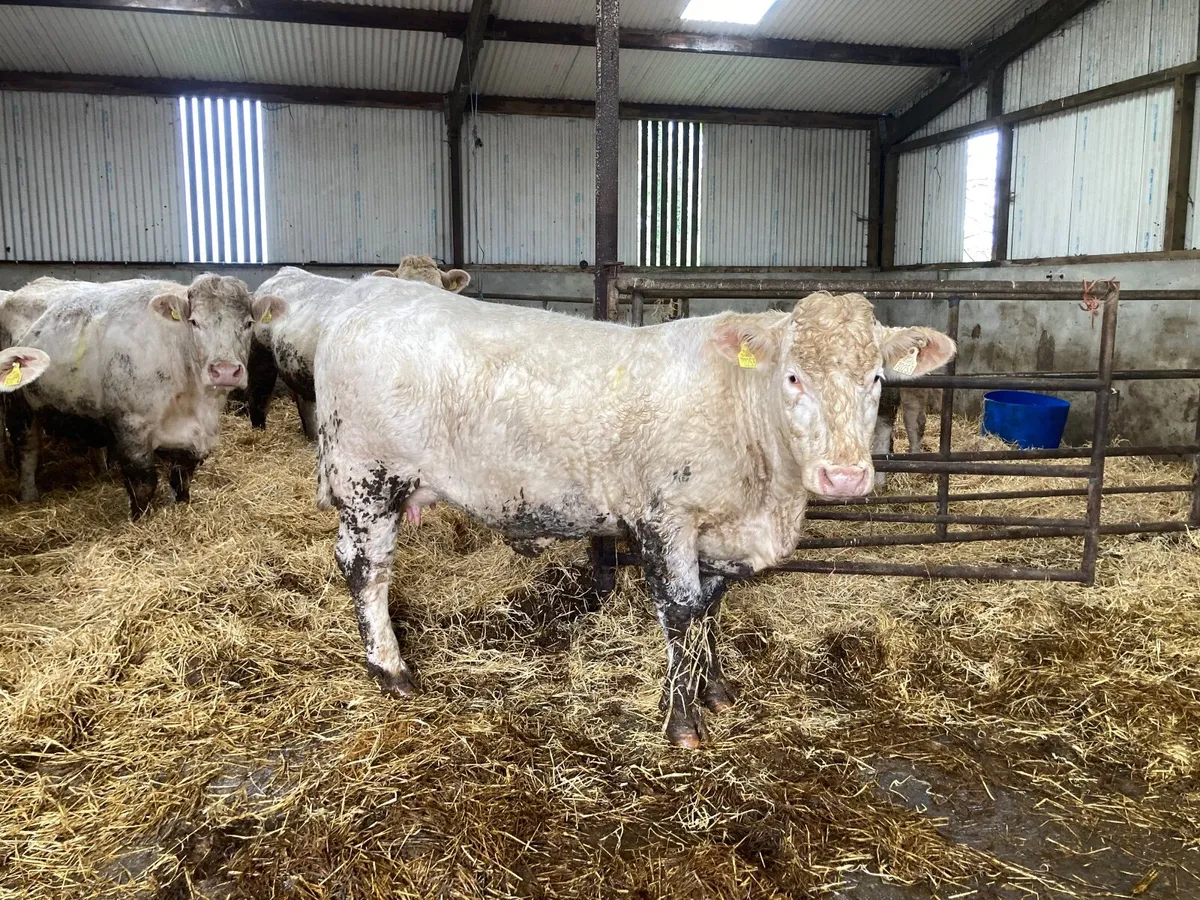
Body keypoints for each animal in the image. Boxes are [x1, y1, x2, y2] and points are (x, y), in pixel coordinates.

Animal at [7, 275, 286, 518]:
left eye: (248, 323)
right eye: (194, 322)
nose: (225, 371)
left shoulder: (194, 436)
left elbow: (182, 476)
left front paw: (182, 506)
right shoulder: (132, 426)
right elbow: (142, 483)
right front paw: (140, 519)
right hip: (17, 403)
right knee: (27, 449)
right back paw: (29, 497)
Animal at [313, 285, 956, 746]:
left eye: (876, 377)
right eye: (793, 376)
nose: (844, 475)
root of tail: (365, 297)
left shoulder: (718, 531)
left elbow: (710, 609)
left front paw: (714, 689)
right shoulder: (666, 518)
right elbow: (680, 612)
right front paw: (682, 722)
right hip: (368, 479)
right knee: (366, 569)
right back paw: (391, 669)